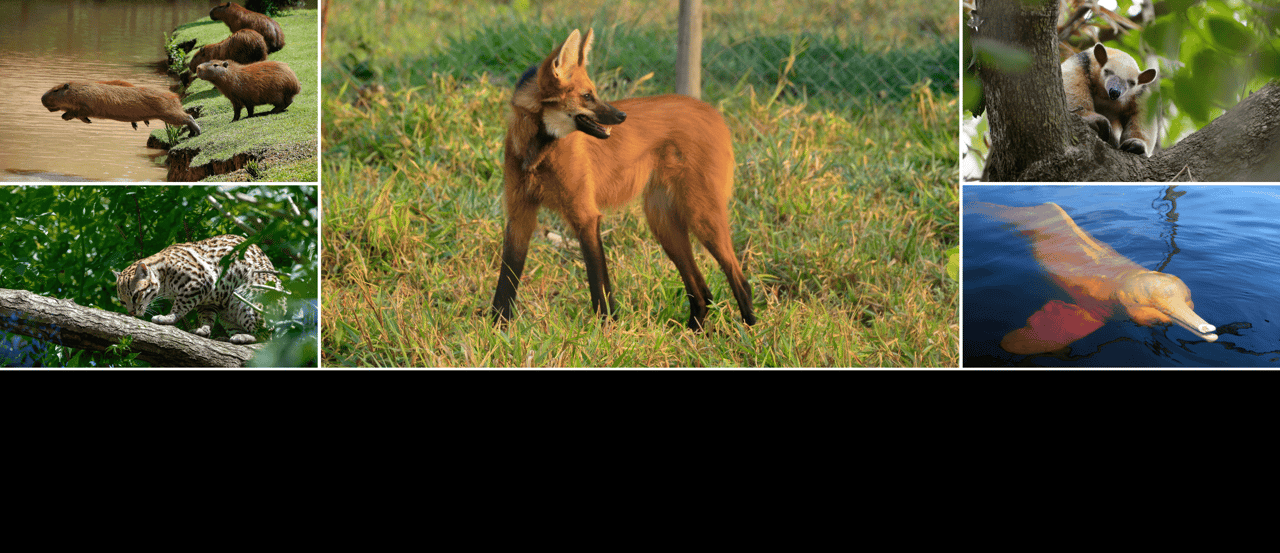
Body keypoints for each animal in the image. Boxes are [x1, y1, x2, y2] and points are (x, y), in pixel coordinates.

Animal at [113, 234, 281, 345]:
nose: (131, 312)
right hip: (227, 315)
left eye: (136, 295)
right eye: (122, 302)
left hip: (246, 300)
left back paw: (244, 337)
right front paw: (203, 330)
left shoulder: (200, 282)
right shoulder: (207, 300)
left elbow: (179, 306)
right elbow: (207, 318)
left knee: (266, 339)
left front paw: (168, 317)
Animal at [486, 28, 747, 330]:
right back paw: (694, 332)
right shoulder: (519, 216)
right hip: (664, 223)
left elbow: (599, 283)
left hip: (700, 215)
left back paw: (750, 330)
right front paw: (497, 328)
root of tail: (712, 111)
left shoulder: (586, 216)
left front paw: (606, 328)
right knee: (702, 291)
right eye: (587, 96)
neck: (538, 153)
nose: (622, 115)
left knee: (739, 278)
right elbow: (506, 282)